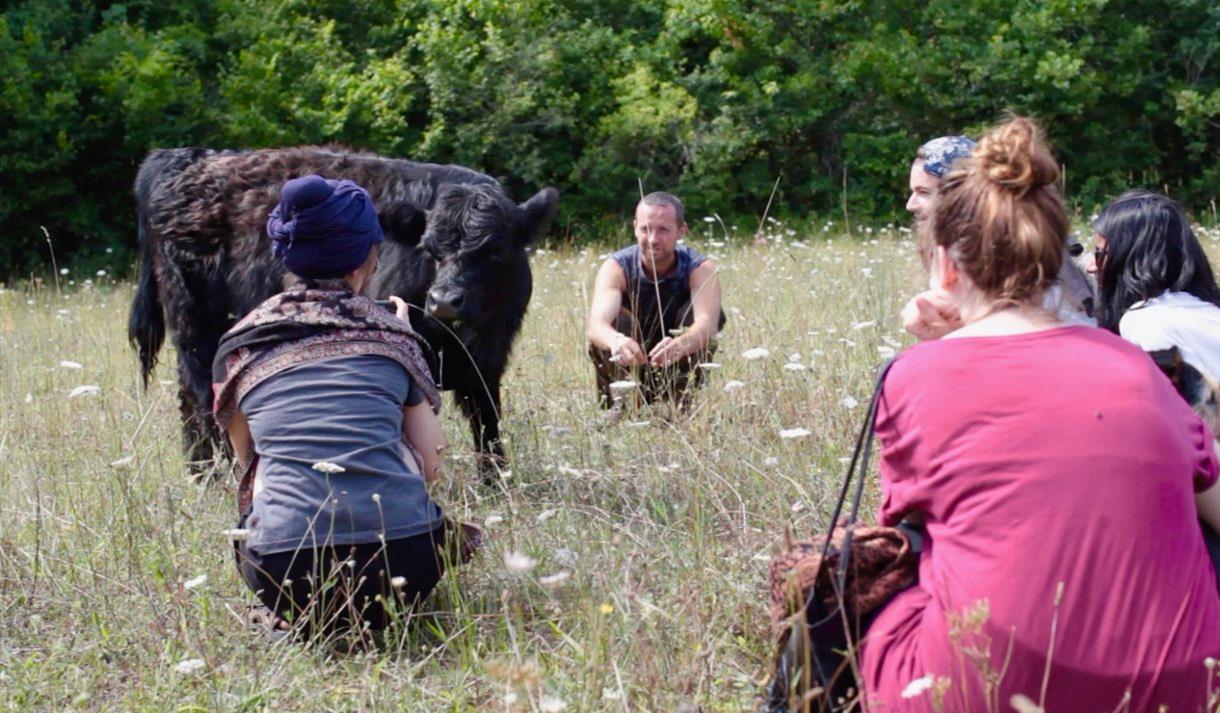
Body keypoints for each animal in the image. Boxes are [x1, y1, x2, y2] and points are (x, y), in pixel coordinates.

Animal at [128, 146, 558, 473]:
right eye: (430, 249)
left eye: (495, 250)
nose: (445, 300)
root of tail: (184, 158)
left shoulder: (486, 363)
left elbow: (488, 425)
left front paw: (496, 482)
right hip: (195, 331)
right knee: (201, 404)